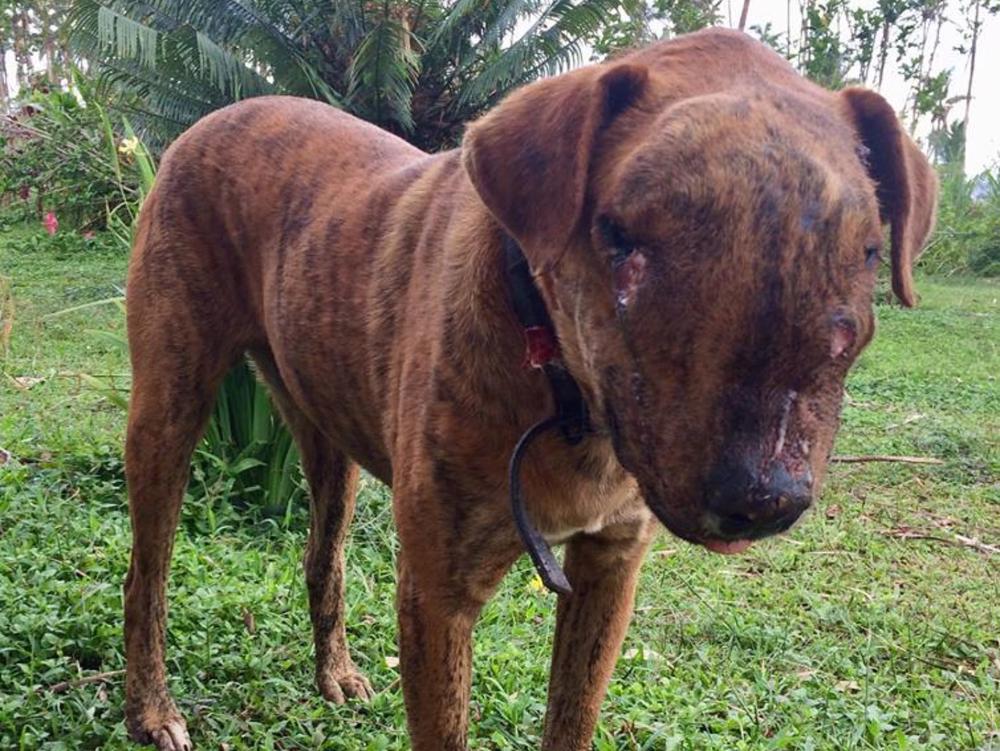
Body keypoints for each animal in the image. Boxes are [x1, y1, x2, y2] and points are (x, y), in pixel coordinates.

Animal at [122, 28, 937, 751]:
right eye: (618, 235)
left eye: (868, 251)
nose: (762, 497)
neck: (563, 390)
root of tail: (229, 109)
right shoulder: (439, 593)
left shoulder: (610, 567)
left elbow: (572, 718)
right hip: (167, 407)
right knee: (147, 574)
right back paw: (152, 708)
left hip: (325, 432)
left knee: (323, 554)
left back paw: (336, 671)